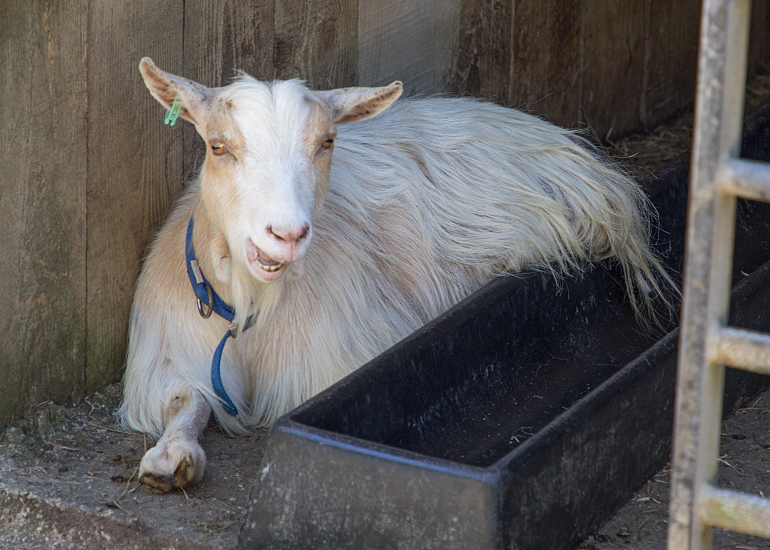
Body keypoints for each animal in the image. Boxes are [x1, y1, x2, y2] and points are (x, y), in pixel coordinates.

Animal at [119, 57, 671, 493]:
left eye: (327, 141)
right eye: (218, 147)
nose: (287, 233)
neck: (253, 308)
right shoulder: (168, 353)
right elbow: (186, 399)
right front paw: (169, 458)